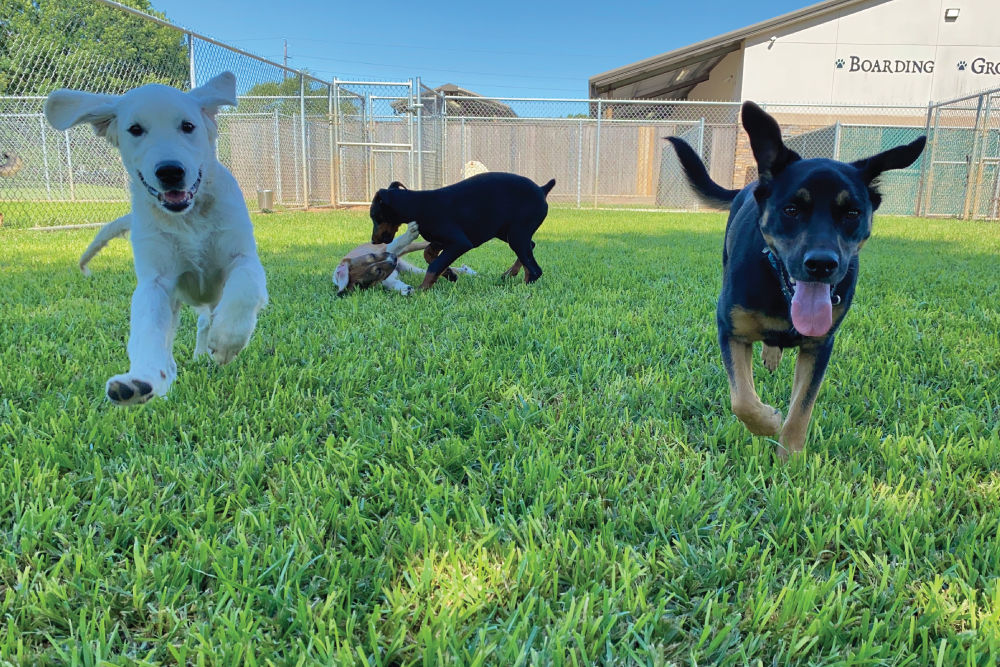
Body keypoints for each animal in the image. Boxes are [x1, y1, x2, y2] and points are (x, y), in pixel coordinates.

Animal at [45, 73, 268, 408]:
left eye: (187, 126)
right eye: (135, 129)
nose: (170, 171)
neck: (189, 218)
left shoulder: (243, 258)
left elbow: (244, 289)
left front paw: (228, 340)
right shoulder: (156, 283)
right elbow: (147, 332)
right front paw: (142, 379)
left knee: (207, 320)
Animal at [332, 223, 476, 296]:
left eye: (371, 256)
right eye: (378, 272)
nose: (394, 258)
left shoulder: (387, 249)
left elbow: (397, 243)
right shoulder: (385, 278)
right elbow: (392, 284)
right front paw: (404, 289)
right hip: (410, 268)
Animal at [370, 172, 556, 290]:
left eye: (374, 217)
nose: (373, 241)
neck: (418, 206)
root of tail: (542, 189)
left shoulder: (460, 242)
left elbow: (435, 264)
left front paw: (421, 289)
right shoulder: (440, 241)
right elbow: (429, 255)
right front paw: (450, 274)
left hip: (517, 234)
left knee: (535, 269)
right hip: (508, 232)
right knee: (530, 247)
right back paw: (510, 273)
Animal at [668, 103, 924, 460]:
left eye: (852, 213)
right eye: (791, 209)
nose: (821, 264)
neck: (781, 292)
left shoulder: (820, 345)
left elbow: (802, 408)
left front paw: (789, 458)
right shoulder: (731, 328)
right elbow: (742, 400)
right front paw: (768, 422)